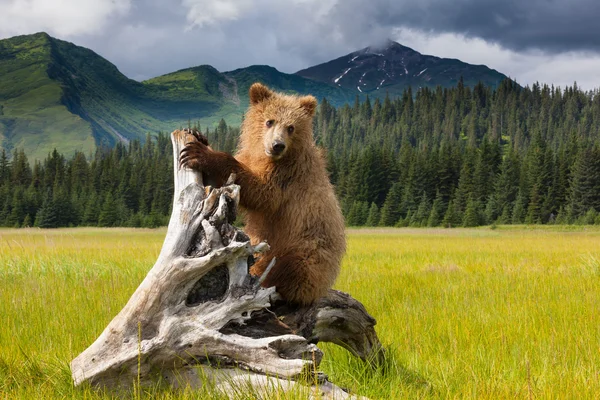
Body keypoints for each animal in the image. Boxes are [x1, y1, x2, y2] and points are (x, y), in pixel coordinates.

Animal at [180, 83, 344, 304]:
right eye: (269, 121)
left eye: (291, 127)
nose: (277, 145)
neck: (265, 156)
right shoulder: (252, 158)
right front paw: (197, 135)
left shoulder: (287, 175)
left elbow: (263, 194)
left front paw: (201, 153)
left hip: (308, 249)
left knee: (292, 268)